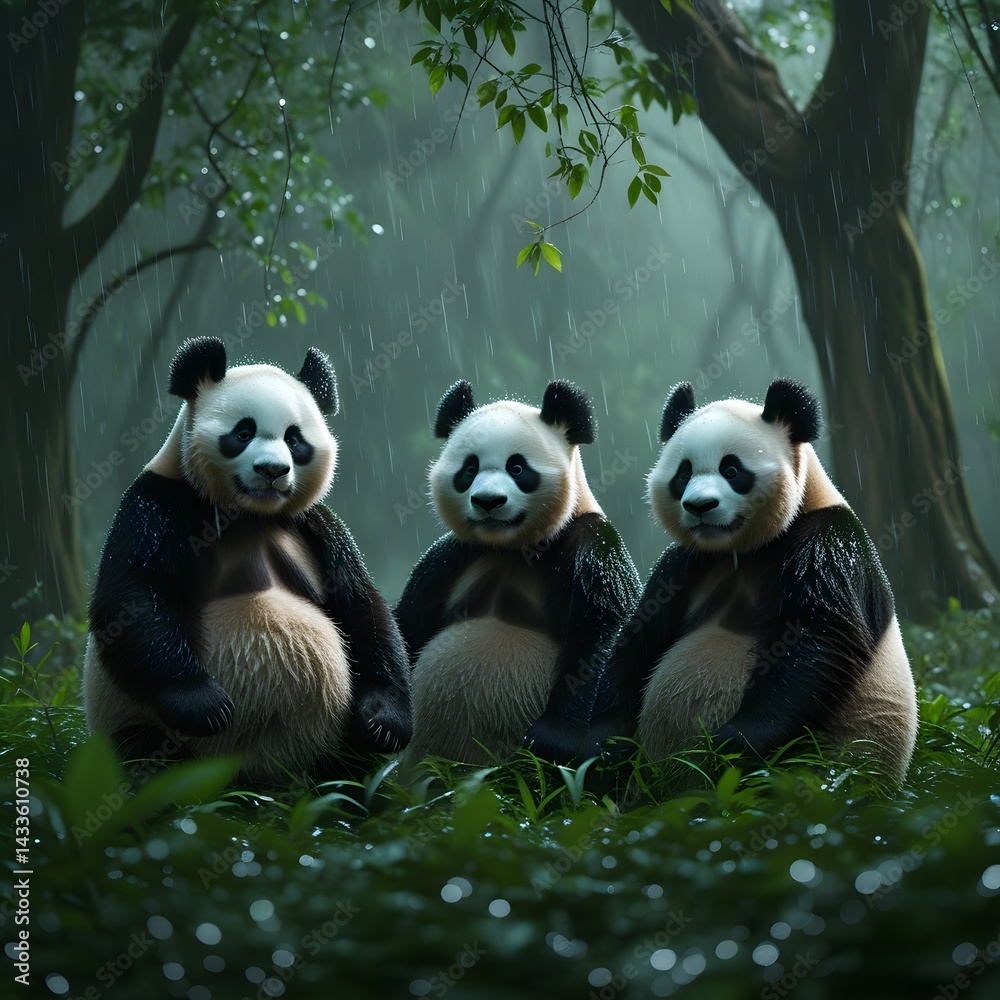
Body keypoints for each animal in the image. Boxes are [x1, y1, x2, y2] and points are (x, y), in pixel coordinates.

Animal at [83, 336, 411, 783]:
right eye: (243, 432)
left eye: (294, 439)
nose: (272, 470)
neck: (250, 513)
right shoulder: (154, 506)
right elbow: (132, 599)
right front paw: (204, 704)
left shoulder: (317, 526)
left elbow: (363, 605)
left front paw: (383, 722)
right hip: (141, 732)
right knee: (145, 760)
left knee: (349, 767)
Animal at [395, 379, 641, 766]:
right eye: (469, 469)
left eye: (517, 468)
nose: (488, 501)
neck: (513, 548)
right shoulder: (451, 559)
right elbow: (407, 625)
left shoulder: (593, 547)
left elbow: (602, 634)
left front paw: (551, 740)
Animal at [590, 378, 918, 781]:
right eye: (684, 474)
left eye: (731, 470)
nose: (699, 506)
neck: (744, 550)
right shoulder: (687, 564)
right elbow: (639, 636)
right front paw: (605, 745)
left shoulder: (829, 544)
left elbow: (819, 638)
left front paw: (731, 744)